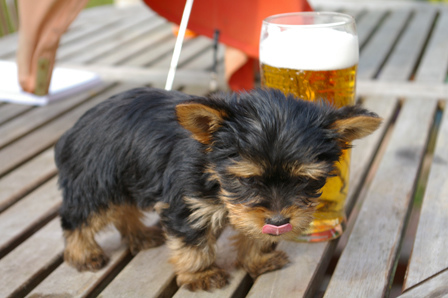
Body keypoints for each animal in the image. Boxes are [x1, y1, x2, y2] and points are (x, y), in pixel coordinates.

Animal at [54, 86, 380, 292]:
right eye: (248, 180)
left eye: (303, 180)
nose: (278, 221)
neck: (213, 172)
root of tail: (78, 124)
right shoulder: (189, 204)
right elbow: (194, 244)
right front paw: (202, 274)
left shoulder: (254, 212)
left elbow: (255, 230)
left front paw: (259, 258)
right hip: (95, 178)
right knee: (79, 216)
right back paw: (83, 254)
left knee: (123, 208)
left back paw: (139, 235)